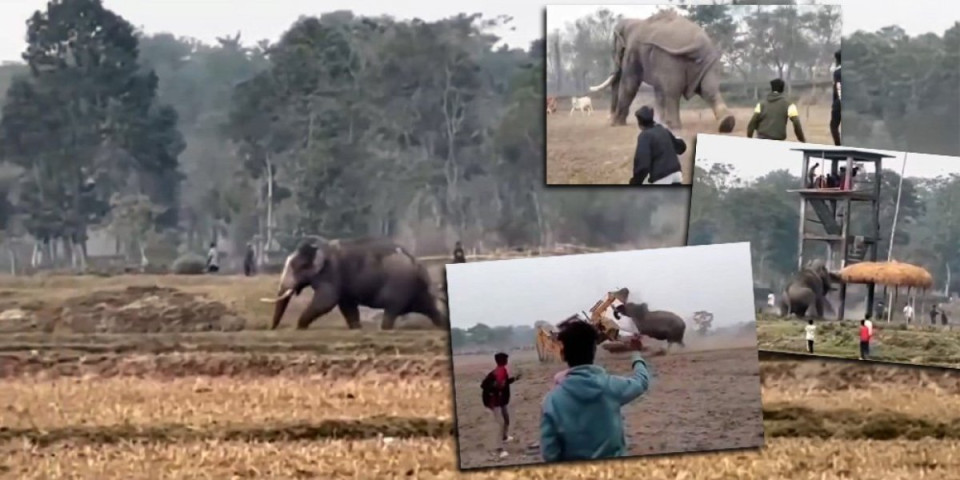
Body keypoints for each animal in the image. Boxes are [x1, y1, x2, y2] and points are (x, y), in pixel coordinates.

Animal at [258, 239, 446, 330]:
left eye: (295, 267)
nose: (270, 328)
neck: (318, 247)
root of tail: (417, 262)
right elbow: (347, 306)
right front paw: (356, 328)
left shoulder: (331, 273)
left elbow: (326, 301)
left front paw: (299, 327)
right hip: (417, 290)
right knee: (431, 309)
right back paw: (442, 326)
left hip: (400, 285)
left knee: (391, 312)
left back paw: (384, 329)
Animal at [584, 9, 736, 133]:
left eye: (614, 51)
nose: (608, 119)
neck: (633, 21)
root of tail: (698, 43)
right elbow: (657, 90)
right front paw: (657, 122)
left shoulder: (633, 51)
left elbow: (630, 84)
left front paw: (617, 124)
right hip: (708, 61)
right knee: (709, 89)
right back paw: (726, 123)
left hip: (671, 59)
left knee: (672, 92)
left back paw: (673, 126)